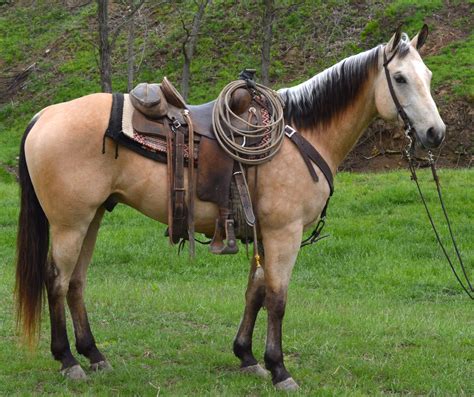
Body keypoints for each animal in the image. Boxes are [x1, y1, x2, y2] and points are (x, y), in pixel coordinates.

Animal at [15, 26, 444, 388]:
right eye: (400, 78)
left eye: (428, 76)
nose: (435, 133)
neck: (301, 135)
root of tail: (44, 115)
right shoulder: (284, 233)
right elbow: (277, 298)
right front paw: (280, 369)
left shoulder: (264, 234)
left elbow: (255, 292)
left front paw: (248, 357)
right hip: (70, 223)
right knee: (57, 280)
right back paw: (68, 360)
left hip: (92, 218)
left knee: (76, 282)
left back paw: (94, 354)